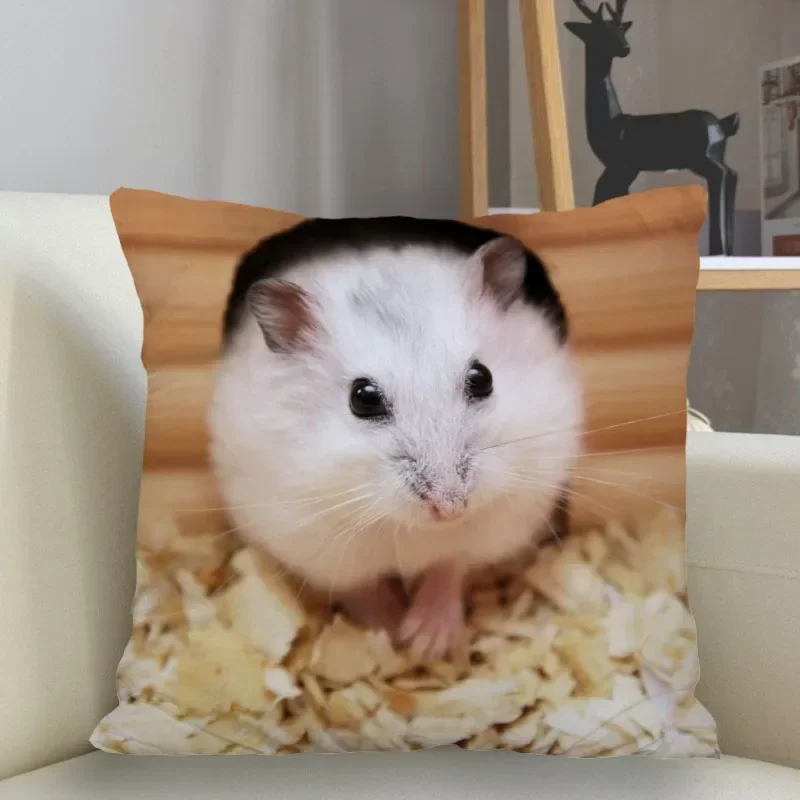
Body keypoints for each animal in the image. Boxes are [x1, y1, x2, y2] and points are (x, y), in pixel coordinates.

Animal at [208, 217, 583, 660]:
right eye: (363, 398)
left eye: (483, 378)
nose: (450, 509)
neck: (412, 529)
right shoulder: (315, 542)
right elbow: (362, 589)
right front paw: (392, 632)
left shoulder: (491, 525)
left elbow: (449, 567)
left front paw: (425, 642)